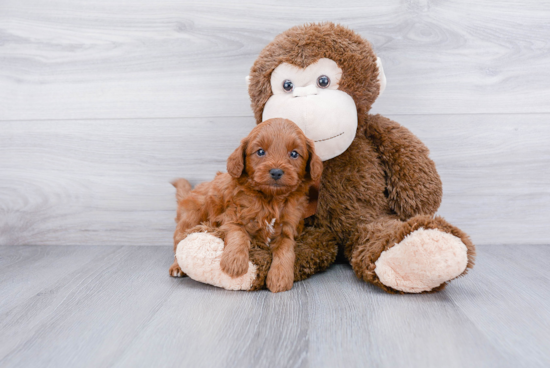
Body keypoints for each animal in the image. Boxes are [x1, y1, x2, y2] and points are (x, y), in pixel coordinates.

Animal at [169, 119, 324, 292]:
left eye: (294, 154)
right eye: (260, 152)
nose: (276, 171)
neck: (271, 200)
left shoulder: (288, 228)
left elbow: (286, 248)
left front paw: (280, 277)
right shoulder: (230, 217)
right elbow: (239, 233)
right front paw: (234, 262)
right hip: (191, 216)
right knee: (180, 242)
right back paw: (177, 267)